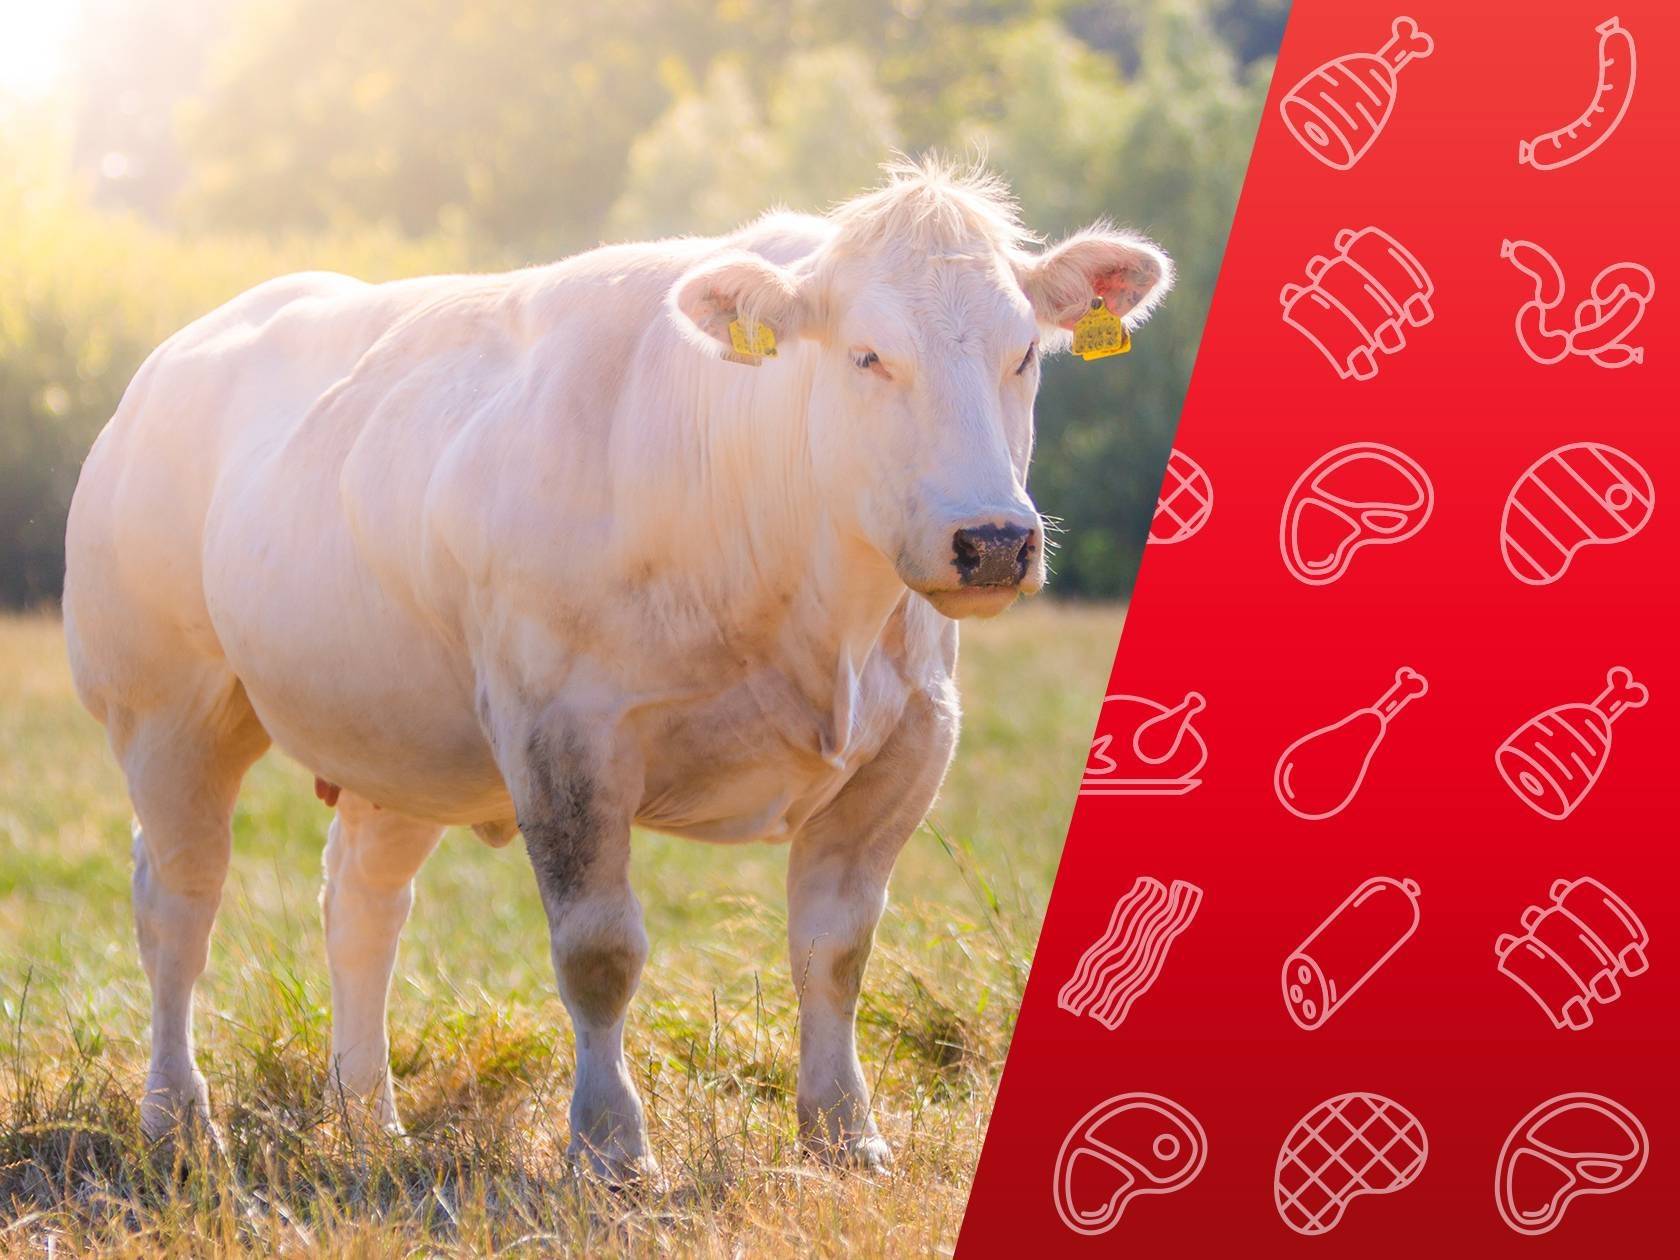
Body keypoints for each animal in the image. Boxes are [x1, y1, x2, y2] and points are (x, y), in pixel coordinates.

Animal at [62, 159, 1170, 1178]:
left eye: (1023, 354)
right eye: (868, 355)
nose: (994, 540)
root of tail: (168, 362)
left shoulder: (909, 742)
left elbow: (836, 949)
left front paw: (844, 1135)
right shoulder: (566, 736)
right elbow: (600, 953)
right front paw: (609, 1146)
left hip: (396, 734)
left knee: (362, 907)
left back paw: (369, 1118)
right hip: (170, 708)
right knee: (179, 903)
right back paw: (178, 1121)